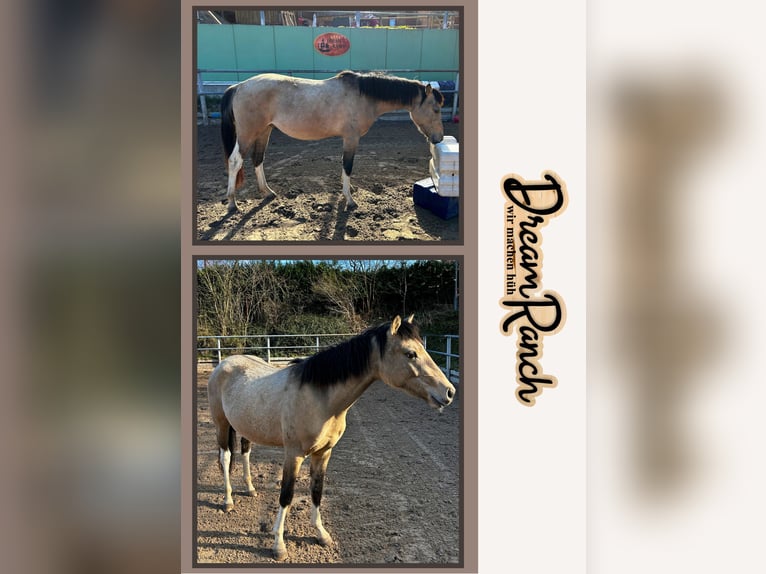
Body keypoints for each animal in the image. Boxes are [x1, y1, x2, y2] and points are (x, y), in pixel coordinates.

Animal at [206, 315, 456, 561]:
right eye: (410, 353)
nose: (449, 392)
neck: (319, 398)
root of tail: (224, 364)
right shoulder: (293, 455)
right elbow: (286, 495)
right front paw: (279, 545)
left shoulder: (323, 453)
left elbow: (317, 491)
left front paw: (322, 534)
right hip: (222, 424)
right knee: (225, 458)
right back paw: (228, 501)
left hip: (245, 426)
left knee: (245, 451)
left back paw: (249, 489)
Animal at [219, 70, 446, 212]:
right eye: (436, 109)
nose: (440, 137)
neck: (362, 96)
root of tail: (239, 86)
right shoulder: (351, 139)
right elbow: (347, 167)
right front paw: (350, 200)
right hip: (248, 134)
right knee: (235, 161)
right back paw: (232, 203)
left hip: (264, 131)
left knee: (258, 159)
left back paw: (267, 192)